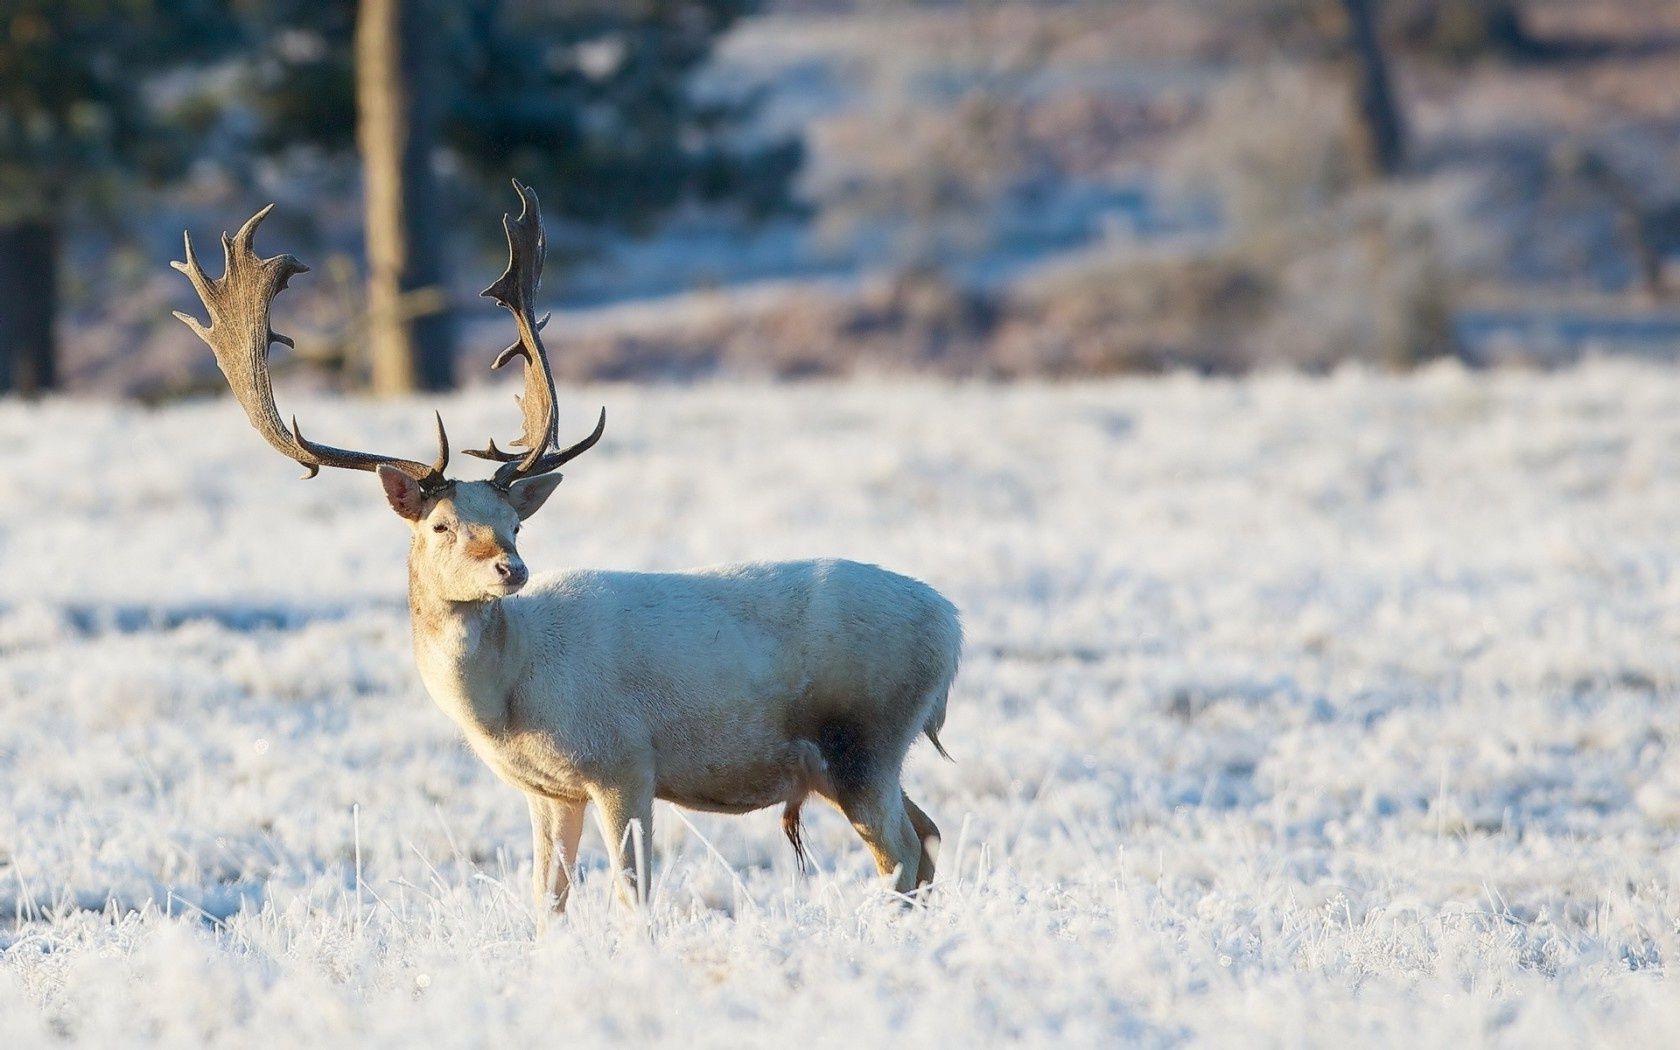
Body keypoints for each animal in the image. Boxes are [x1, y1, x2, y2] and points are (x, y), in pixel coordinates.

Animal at [173, 183, 960, 913]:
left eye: (515, 523)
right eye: (440, 525)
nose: (510, 568)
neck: (509, 699)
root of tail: (952, 628)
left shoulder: (624, 761)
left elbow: (631, 893)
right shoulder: (548, 790)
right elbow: (547, 899)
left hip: (863, 737)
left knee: (901, 853)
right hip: (860, 756)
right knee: (927, 839)